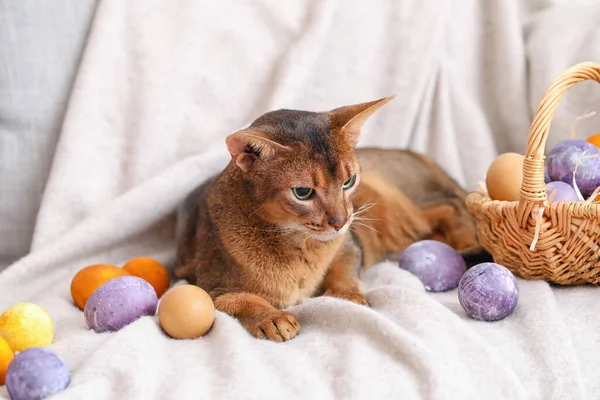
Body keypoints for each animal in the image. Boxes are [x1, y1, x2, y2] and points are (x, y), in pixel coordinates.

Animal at [172, 95, 478, 342]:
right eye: (303, 192)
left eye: (348, 181)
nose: (340, 221)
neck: (298, 244)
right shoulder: (208, 285)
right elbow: (239, 299)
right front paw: (272, 318)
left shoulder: (350, 243)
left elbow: (344, 268)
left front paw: (347, 295)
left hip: (395, 204)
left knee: (450, 205)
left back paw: (465, 242)